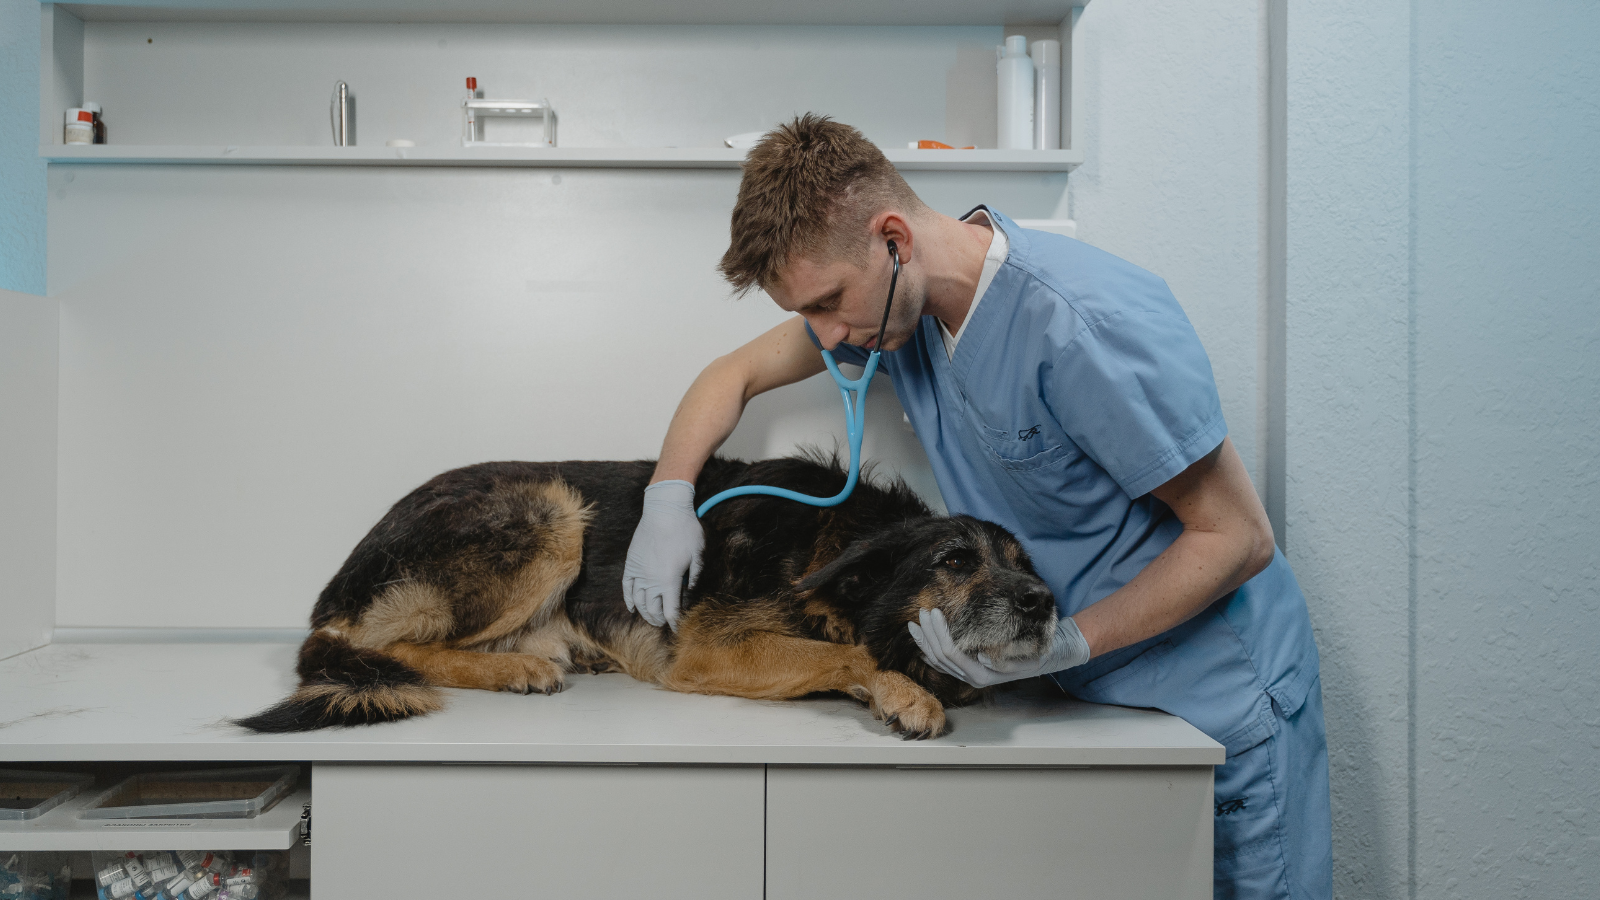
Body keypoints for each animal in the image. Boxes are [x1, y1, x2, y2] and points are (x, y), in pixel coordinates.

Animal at [233, 451, 1062, 739]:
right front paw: (906, 692)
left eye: (1024, 562)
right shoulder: (709, 651)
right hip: (552, 505)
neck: (834, 541)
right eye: (954, 559)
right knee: (391, 646)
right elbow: (854, 654)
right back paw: (515, 669)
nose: (1043, 603)